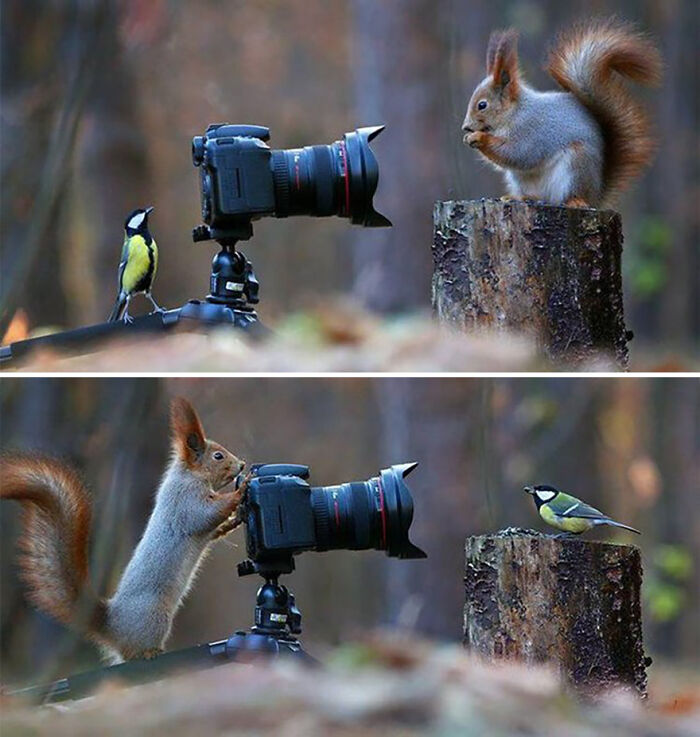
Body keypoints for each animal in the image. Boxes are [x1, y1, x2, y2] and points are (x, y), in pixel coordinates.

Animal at [0, 397, 250, 663]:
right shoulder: (184, 501)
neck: (189, 475)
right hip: (155, 617)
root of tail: (113, 627)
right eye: (218, 456)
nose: (242, 464)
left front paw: (234, 520)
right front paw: (240, 490)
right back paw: (150, 652)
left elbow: (213, 530)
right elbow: (205, 515)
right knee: (133, 653)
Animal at [462, 18, 662, 208]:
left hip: (577, 165)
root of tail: (596, 195)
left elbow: (518, 153)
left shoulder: (531, 130)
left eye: (482, 105)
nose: (466, 127)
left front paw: (479, 138)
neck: (514, 113)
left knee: (569, 195)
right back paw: (521, 197)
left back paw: (575, 201)